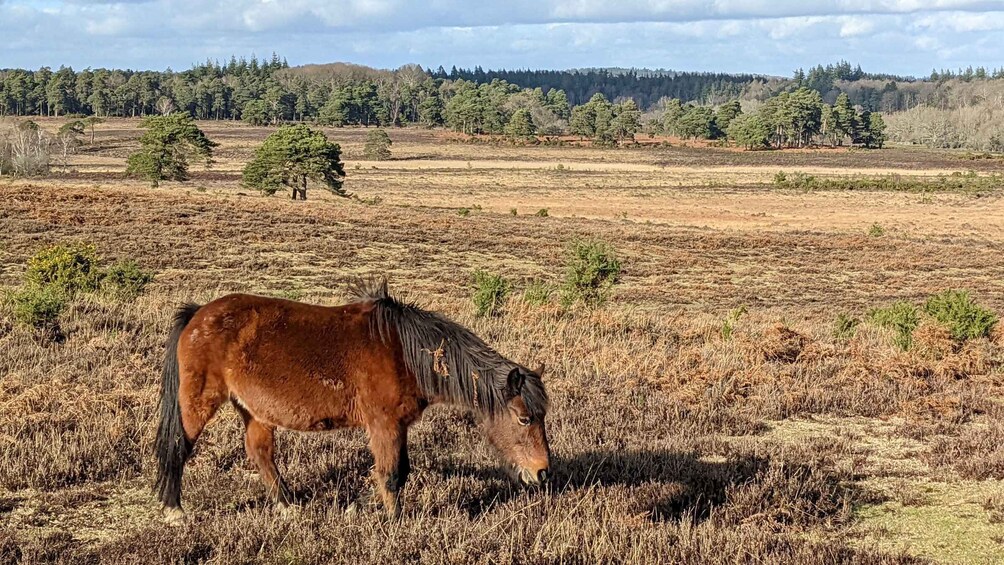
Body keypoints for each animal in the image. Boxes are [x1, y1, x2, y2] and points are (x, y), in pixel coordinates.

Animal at [152, 278, 554, 521]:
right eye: (524, 418)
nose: (542, 472)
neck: (404, 351)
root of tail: (198, 314)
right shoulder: (384, 425)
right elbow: (392, 474)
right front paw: (394, 521)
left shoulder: (397, 426)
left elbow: (399, 471)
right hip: (199, 401)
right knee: (179, 446)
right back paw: (174, 510)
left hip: (255, 410)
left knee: (260, 452)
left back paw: (288, 506)